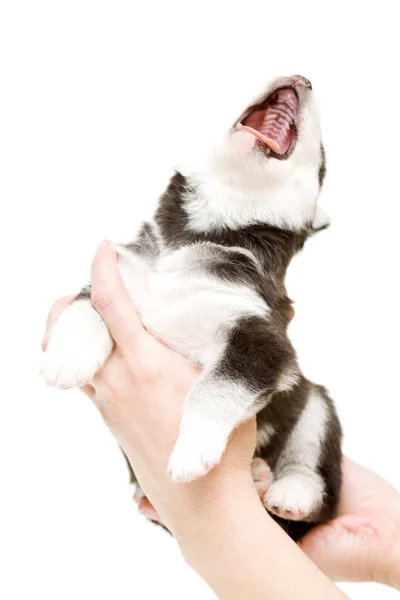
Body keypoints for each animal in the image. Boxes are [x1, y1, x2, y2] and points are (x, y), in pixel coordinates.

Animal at [43, 74, 344, 540]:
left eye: (322, 160)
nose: (302, 78)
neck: (200, 234)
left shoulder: (261, 340)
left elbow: (214, 388)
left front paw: (192, 448)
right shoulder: (119, 278)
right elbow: (82, 308)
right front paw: (68, 358)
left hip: (315, 402)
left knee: (316, 479)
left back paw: (290, 488)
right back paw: (252, 478)